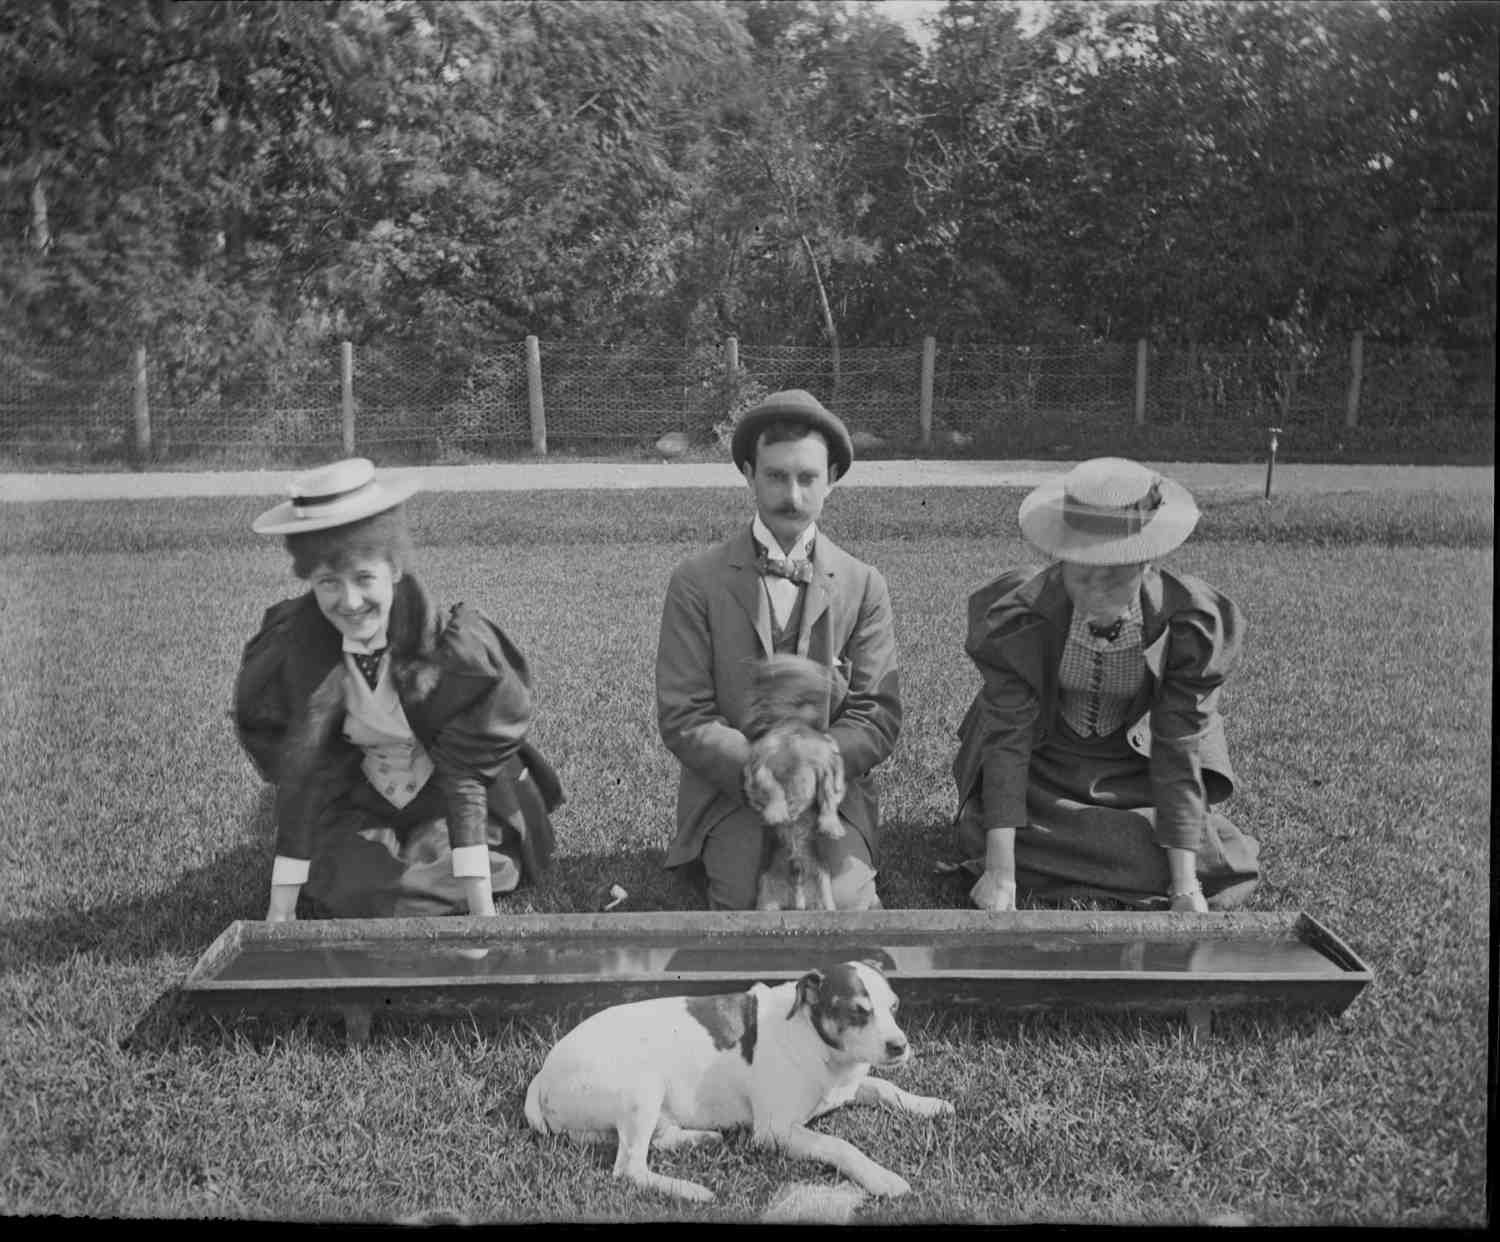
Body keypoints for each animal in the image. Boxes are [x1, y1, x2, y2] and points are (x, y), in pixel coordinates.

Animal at [525, 960, 948, 1206]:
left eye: (894, 1006)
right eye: (858, 1012)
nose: (900, 1046)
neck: (814, 1038)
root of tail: (542, 1077)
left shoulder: (847, 1087)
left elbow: (886, 1088)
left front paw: (928, 1104)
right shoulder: (775, 1131)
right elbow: (840, 1145)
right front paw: (881, 1177)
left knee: (654, 1141)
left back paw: (699, 1139)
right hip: (642, 1087)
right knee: (630, 1169)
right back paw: (691, 1191)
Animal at [738, 654, 846, 906]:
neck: (792, 728)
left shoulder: (827, 767)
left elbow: (828, 798)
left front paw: (831, 826)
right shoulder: (761, 766)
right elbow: (773, 788)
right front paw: (777, 812)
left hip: (824, 897)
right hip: (767, 902)